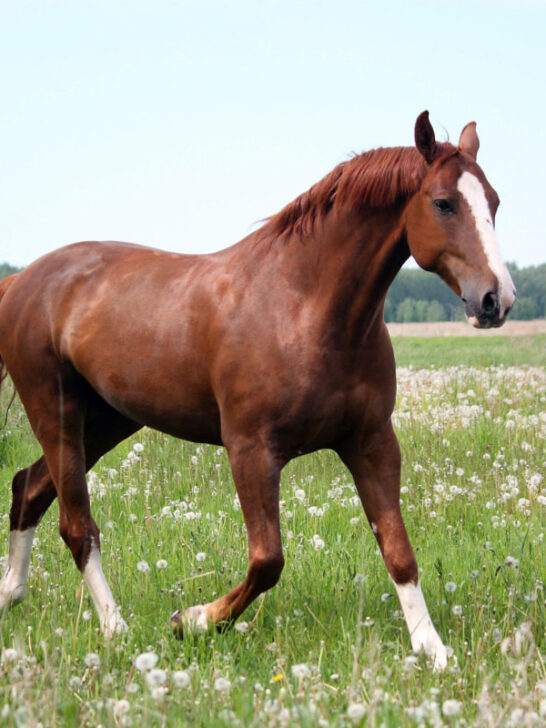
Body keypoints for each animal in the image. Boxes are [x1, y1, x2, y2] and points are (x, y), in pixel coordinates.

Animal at [0, 111, 512, 672]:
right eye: (442, 202)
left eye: (494, 202)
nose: (496, 299)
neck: (303, 306)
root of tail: (22, 280)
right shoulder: (251, 450)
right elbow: (268, 560)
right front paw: (192, 620)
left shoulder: (372, 442)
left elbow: (398, 551)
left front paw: (432, 649)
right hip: (56, 411)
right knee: (76, 524)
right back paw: (115, 628)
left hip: (108, 419)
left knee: (28, 488)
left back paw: (10, 595)